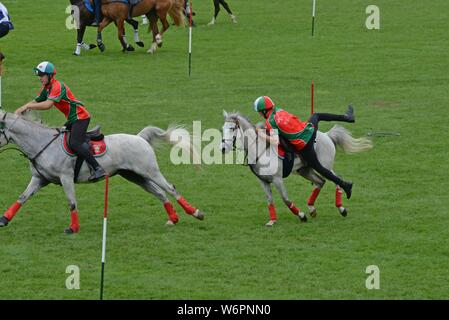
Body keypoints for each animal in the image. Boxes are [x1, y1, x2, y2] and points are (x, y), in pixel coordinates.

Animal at [0, 110, 203, 232]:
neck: (43, 144)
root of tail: (139, 138)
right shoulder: (39, 179)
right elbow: (22, 198)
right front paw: (3, 220)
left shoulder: (66, 178)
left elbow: (72, 203)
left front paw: (73, 228)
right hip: (134, 176)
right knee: (160, 193)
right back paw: (173, 218)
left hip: (149, 171)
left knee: (170, 188)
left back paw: (195, 212)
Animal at [220, 111, 372, 226]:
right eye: (222, 128)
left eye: (232, 128)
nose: (222, 148)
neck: (261, 150)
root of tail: (327, 135)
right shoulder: (263, 181)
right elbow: (270, 200)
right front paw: (272, 221)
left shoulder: (277, 179)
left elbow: (286, 199)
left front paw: (301, 216)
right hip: (305, 170)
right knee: (321, 181)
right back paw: (312, 208)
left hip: (323, 165)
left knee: (336, 179)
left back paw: (342, 205)